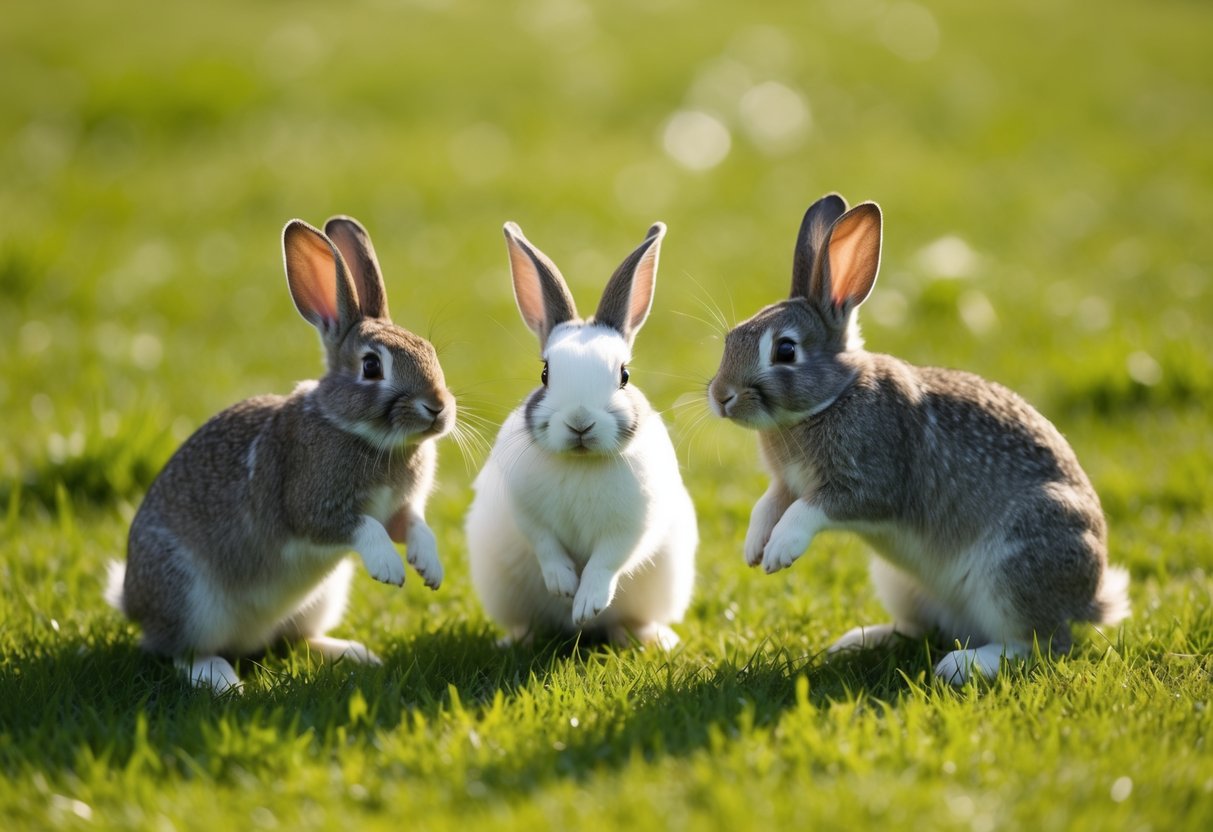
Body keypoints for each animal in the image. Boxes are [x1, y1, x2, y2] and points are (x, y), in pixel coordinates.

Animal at [105, 216, 455, 692]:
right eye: (371, 366)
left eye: (430, 351)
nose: (437, 407)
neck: (363, 433)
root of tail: (133, 603)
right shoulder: (309, 505)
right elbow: (360, 526)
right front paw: (389, 569)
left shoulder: (400, 509)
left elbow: (415, 525)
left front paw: (429, 568)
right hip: (188, 597)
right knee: (182, 652)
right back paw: (223, 681)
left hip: (321, 599)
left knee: (294, 639)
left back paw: (355, 654)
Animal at [464, 221, 697, 649]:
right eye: (544, 374)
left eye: (624, 375)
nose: (580, 422)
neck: (580, 462)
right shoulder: (527, 512)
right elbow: (546, 545)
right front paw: (563, 585)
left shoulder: (632, 526)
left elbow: (607, 561)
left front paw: (586, 603)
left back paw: (649, 638)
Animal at [707, 193, 1130, 684]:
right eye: (732, 337)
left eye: (786, 350)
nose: (721, 397)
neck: (833, 398)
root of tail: (1089, 600)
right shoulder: (786, 483)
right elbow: (768, 505)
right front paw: (754, 547)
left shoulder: (871, 483)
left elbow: (807, 511)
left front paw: (779, 551)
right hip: (899, 583)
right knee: (921, 629)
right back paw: (857, 640)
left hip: (1016, 569)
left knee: (1041, 643)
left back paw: (963, 665)